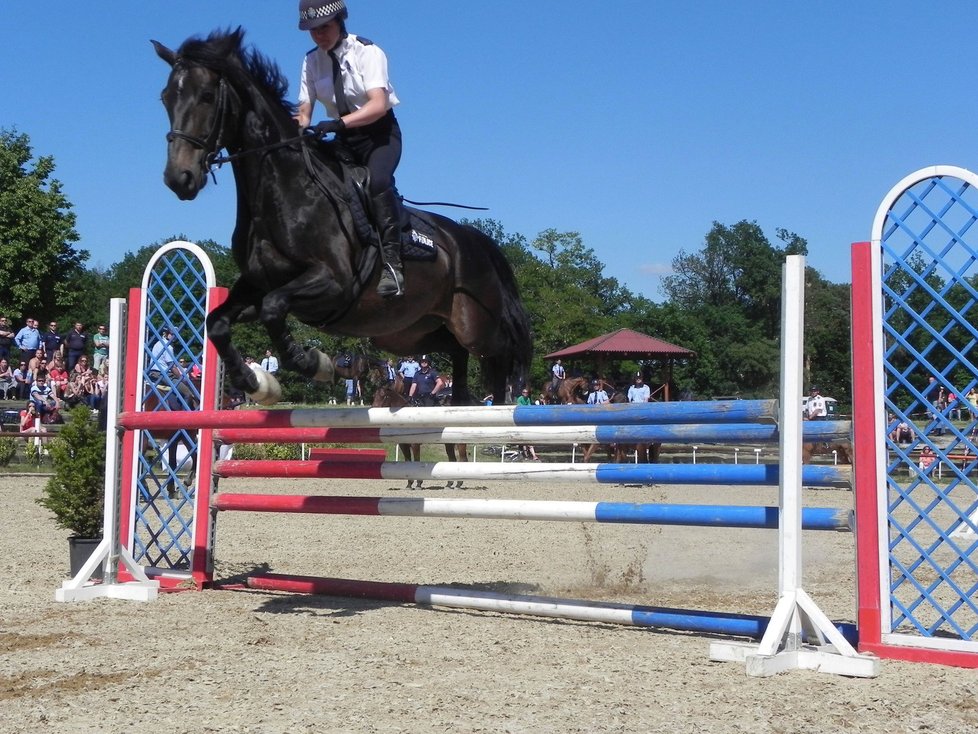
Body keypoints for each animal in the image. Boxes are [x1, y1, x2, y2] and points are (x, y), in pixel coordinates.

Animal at [153, 30, 528, 408]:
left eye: (206, 96)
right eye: (166, 98)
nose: (178, 179)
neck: (282, 192)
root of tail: (471, 240)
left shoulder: (333, 283)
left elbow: (274, 308)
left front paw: (312, 363)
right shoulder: (257, 286)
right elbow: (216, 323)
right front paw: (255, 382)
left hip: (474, 325)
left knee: (502, 352)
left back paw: (503, 405)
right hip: (409, 332)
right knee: (457, 351)